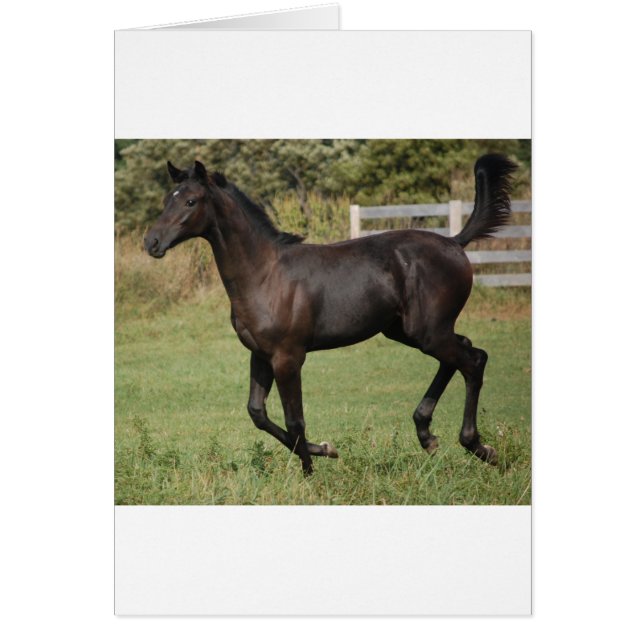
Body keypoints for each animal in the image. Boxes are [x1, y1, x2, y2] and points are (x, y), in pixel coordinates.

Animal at [144, 154, 517, 475]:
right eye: (167, 200)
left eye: (190, 202)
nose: (152, 242)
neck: (265, 274)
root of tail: (455, 243)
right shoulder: (261, 355)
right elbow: (257, 413)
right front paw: (324, 450)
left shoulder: (288, 357)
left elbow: (295, 420)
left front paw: (311, 472)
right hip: (409, 331)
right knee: (462, 353)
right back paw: (427, 436)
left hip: (428, 332)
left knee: (474, 360)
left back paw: (478, 447)